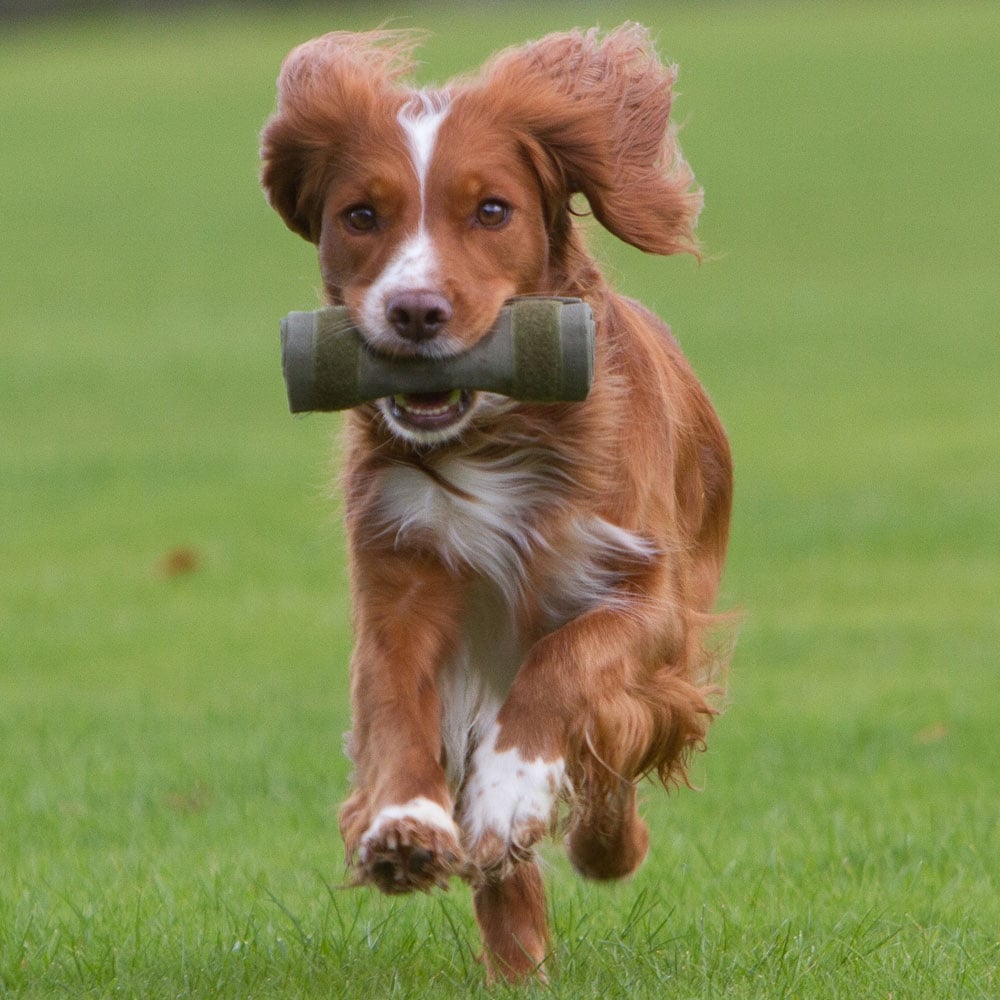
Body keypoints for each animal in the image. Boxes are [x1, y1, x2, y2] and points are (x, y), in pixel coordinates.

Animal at [262, 25, 732, 984]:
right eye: (359, 215)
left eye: (491, 210)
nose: (415, 311)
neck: (495, 439)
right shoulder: (400, 583)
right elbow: (397, 705)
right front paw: (405, 824)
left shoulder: (648, 598)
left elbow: (566, 663)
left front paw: (512, 791)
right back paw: (517, 964)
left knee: (613, 769)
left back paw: (594, 843)